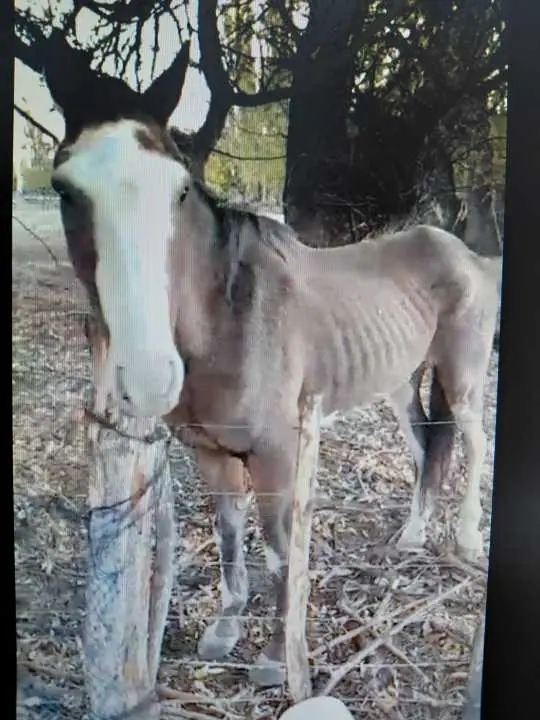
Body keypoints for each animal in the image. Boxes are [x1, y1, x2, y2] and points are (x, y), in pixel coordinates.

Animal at [44, 47, 501, 688]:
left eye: (179, 190)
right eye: (64, 189)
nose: (151, 376)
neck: (228, 320)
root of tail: (465, 252)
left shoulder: (280, 455)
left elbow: (281, 549)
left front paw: (271, 658)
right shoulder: (212, 453)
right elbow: (230, 535)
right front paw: (226, 628)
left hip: (462, 375)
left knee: (474, 442)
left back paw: (465, 537)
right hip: (398, 381)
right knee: (426, 447)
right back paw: (412, 534)